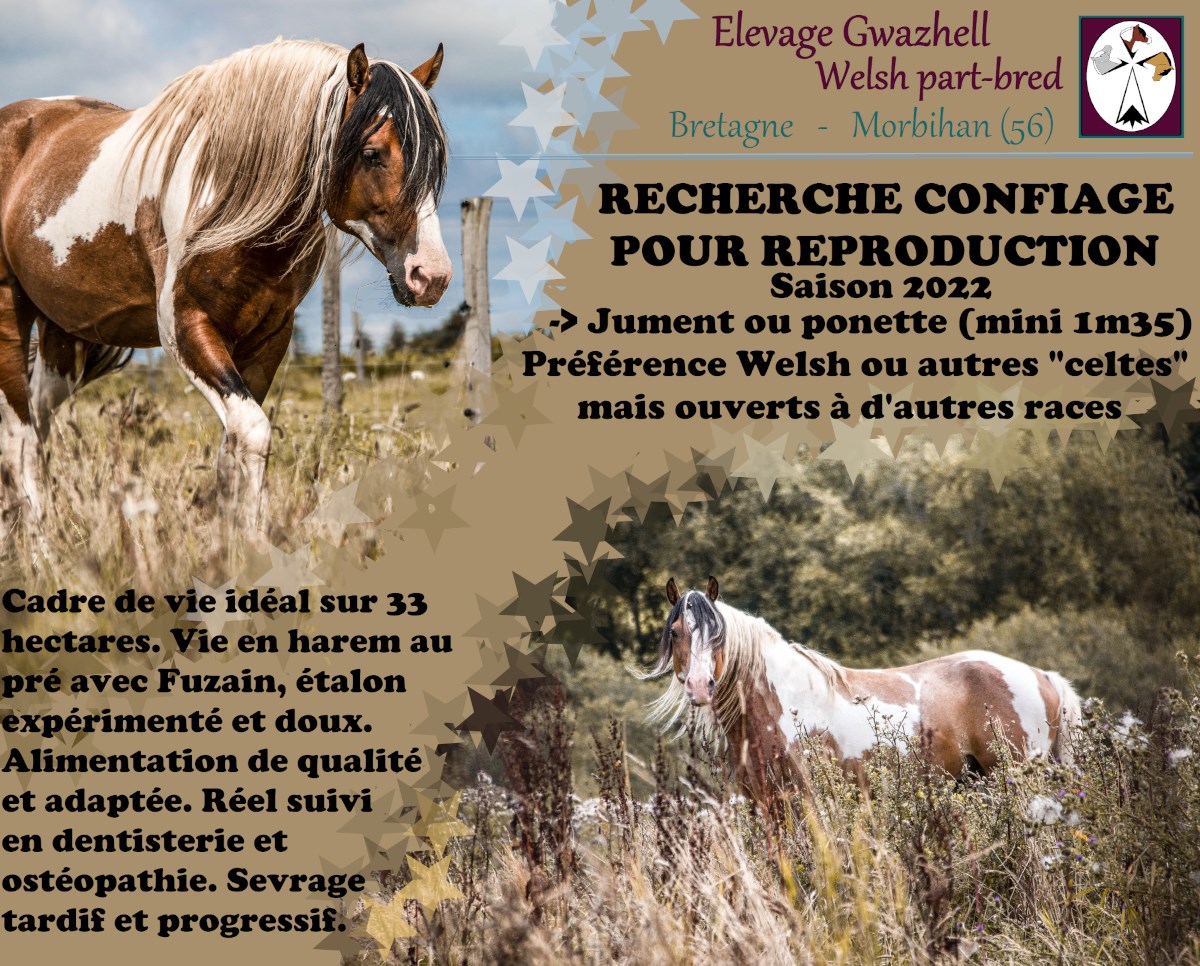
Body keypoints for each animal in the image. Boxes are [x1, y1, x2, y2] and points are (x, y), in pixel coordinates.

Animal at [0, 39, 451, 533]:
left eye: (436, 159)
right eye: (372, 153)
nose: (431, 276)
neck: (229, 194)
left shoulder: (270, 336)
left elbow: (232, 447)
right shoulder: (186, 328)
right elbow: (252, 432)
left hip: (65, 338)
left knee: (37, 422)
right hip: (10, 317)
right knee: (18, 433)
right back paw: (35, 535)